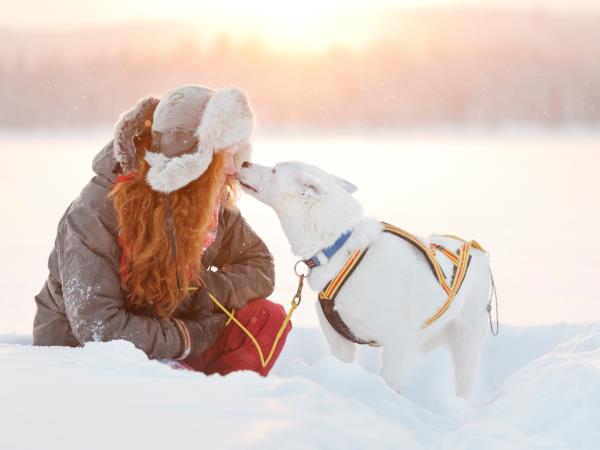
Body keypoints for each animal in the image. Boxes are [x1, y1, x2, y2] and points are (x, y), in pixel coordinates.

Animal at [239, 162, 492, 398]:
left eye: (274, 170)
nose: (244, 163)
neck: (339, 248)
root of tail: (474, 247)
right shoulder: (338, 339)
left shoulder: (399, 343)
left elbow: (389, 380)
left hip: (465, 344)